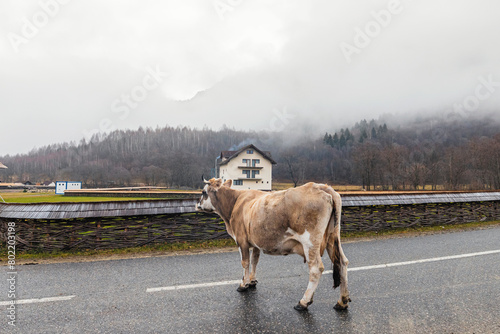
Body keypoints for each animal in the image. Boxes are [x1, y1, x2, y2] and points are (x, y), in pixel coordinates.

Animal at [196, 177, 352, 310]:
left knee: (316, 269)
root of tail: (321, 186)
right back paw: (342, 301)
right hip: (333, 237)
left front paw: (243, 284)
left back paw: (303, 302)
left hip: (310, 242)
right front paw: (252, 281)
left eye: (203, 192)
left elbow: (245, 263)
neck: (235, 203)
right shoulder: (256, 243)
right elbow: (255, 260)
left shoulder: (241, 240)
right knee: (343, 262)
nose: (197, 204)